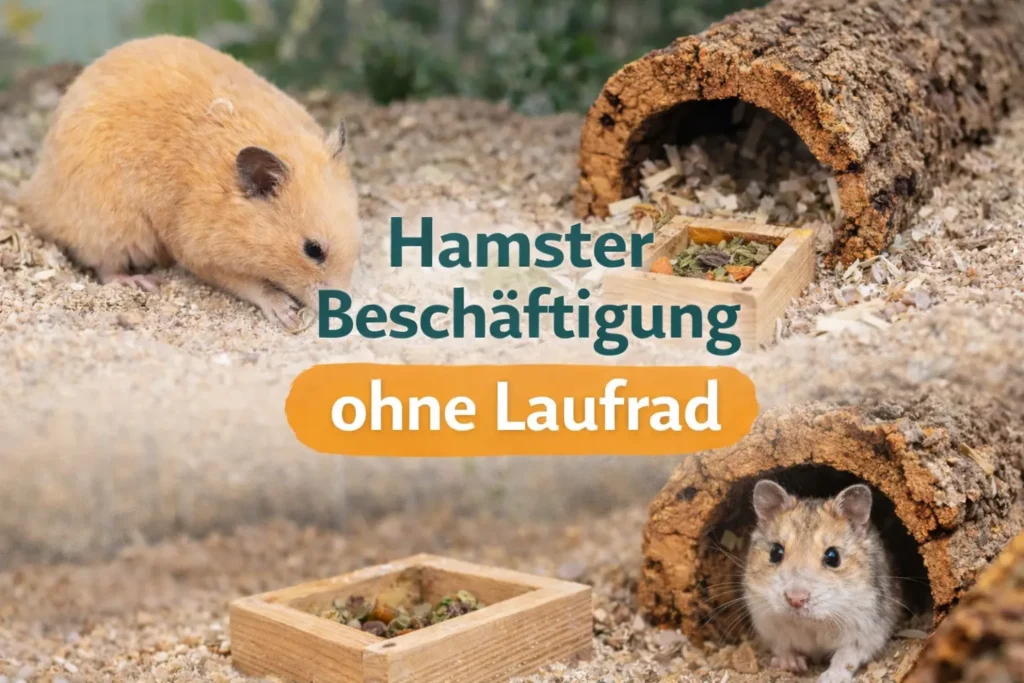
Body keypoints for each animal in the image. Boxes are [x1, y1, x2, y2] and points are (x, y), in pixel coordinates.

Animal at [18, 35, 361, 330]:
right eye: (313, 250)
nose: (342, 306)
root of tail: (34, 195)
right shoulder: (200, 254)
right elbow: (251, 286)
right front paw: (285, 312)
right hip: (115, 223)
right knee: (104, 266)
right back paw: (141, 282)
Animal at [743, 480, 903, 683]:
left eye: (833, 557)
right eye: (775, 552)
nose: (795, 599)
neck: (812, 622)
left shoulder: (867, 631)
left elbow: (846, 656)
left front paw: (830, 677)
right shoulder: (767, 623)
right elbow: (782, 647)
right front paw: (793, 664)